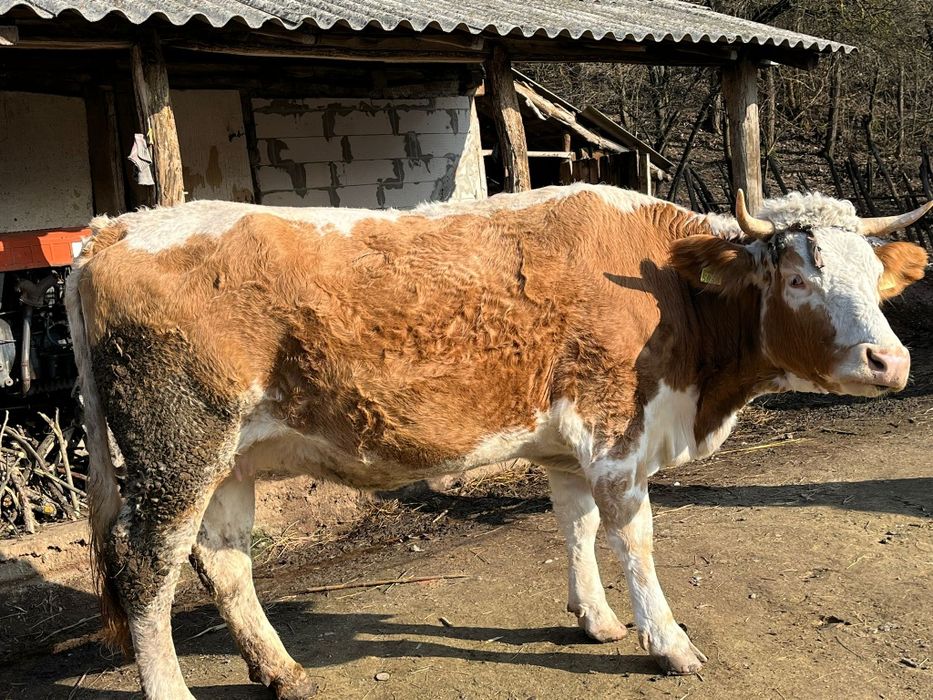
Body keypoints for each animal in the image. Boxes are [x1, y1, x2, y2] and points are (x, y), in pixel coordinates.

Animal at [65, 183, 930, 699]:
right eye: (798, 278)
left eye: (873, 278)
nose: (890, 361)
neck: (671, 288)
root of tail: (117, 227)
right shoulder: (617, 437)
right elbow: (636, 541)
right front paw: (667, 641)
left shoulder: (566, 448)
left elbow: (576, 527)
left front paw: (595, 619)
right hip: (176, 446)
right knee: (147, 570)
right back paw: (175, 688)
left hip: (230, 461)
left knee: (225, 562)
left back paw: (281, 671)